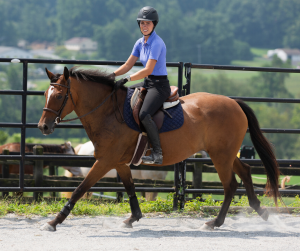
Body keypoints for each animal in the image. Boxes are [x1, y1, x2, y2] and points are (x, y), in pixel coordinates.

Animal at [38, 66, 282, 231]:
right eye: (45, 95)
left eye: (58, 95)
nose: (43, 126)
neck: (108, 111)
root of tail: (234, 103)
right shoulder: (119, 162)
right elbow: (130, 188)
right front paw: (133, 217)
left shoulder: (105, 161)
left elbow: (80, 189)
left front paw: (54, 221)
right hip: (226, 154)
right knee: (245, 172)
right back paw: (260, 210)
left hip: (220, 156)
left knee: (230, 185)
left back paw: (215, 222)